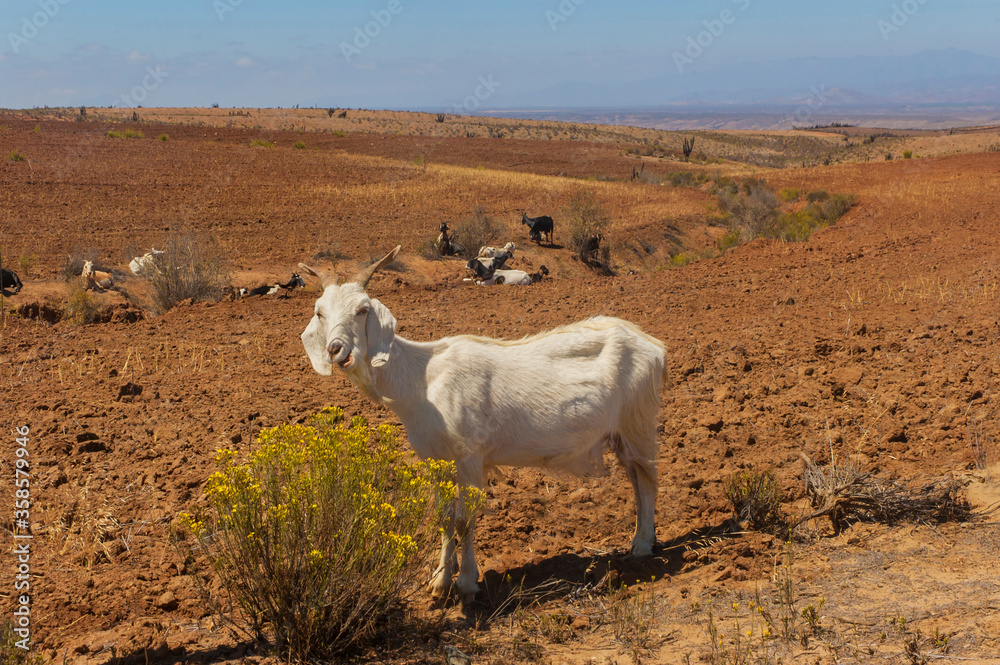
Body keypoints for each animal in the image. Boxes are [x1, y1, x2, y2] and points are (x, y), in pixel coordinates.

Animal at [300, 247, 669, 604]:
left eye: (363, 310)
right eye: (320, 312)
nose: (336, 350)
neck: (422, 381)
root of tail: (654, 345)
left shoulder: (470, 456)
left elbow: (466, 520)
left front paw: (466, 584)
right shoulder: (437, 460)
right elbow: (445, 517)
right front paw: (438, 583)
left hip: (637, 420)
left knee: (648, 477)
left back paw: (642, 547)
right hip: (620, 434)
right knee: (635, 479)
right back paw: (638, 539)